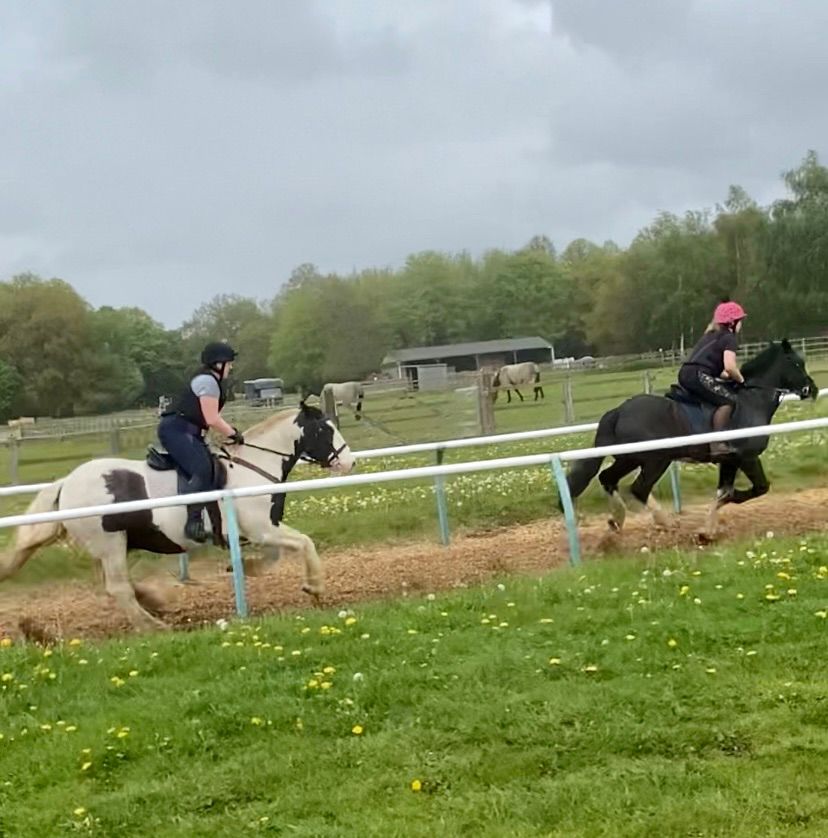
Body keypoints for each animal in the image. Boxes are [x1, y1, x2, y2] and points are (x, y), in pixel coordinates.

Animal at [0, 402, 352, 632]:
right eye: (325, 429)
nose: (348, 461)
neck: (252, 468)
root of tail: (66, 483)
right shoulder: (262, 529)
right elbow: (304, 543)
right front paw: (315, 588)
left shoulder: (262, 531)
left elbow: (275, 556)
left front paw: (246, 568)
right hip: (110, 544)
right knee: (118, 588)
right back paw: (154, 626)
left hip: (109, 546)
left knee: (113, 585)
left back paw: (154, 602)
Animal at [568, 340, 820, 540]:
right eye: (797, 363)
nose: (813, 389)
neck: (752, 399)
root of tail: (618, 411)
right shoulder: (747, 458)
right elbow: (757, 488)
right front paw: (721, 513)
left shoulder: (729, 460)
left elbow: (723, 492)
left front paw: (707, 532)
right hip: (655, 460)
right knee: (639, 488)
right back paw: (665, 522)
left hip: (629, 458)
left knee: (607, 478)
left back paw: (617, 520)